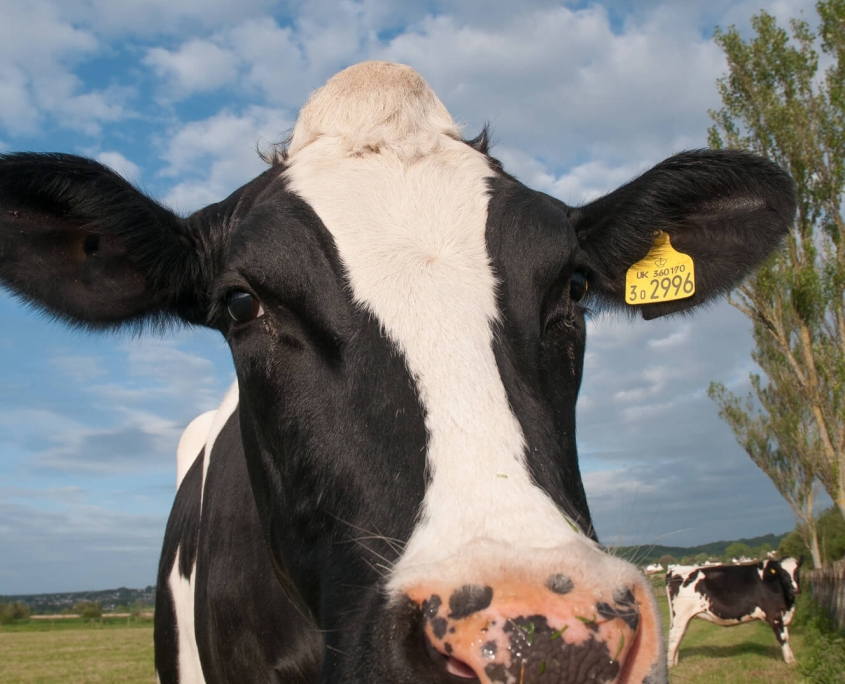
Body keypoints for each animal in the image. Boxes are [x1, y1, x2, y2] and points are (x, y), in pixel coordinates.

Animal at [665, 558, 802, 666]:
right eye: (783, 573)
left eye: (797, 571)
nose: (795, 590)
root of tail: (674, 569)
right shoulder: (774, 614)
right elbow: (782, 637)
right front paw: (789, 660)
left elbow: (786, 635)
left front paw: (791, 658)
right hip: (681, 615)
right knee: (674, 635)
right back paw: (670, 665)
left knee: (679, 635)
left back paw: (674, 662)